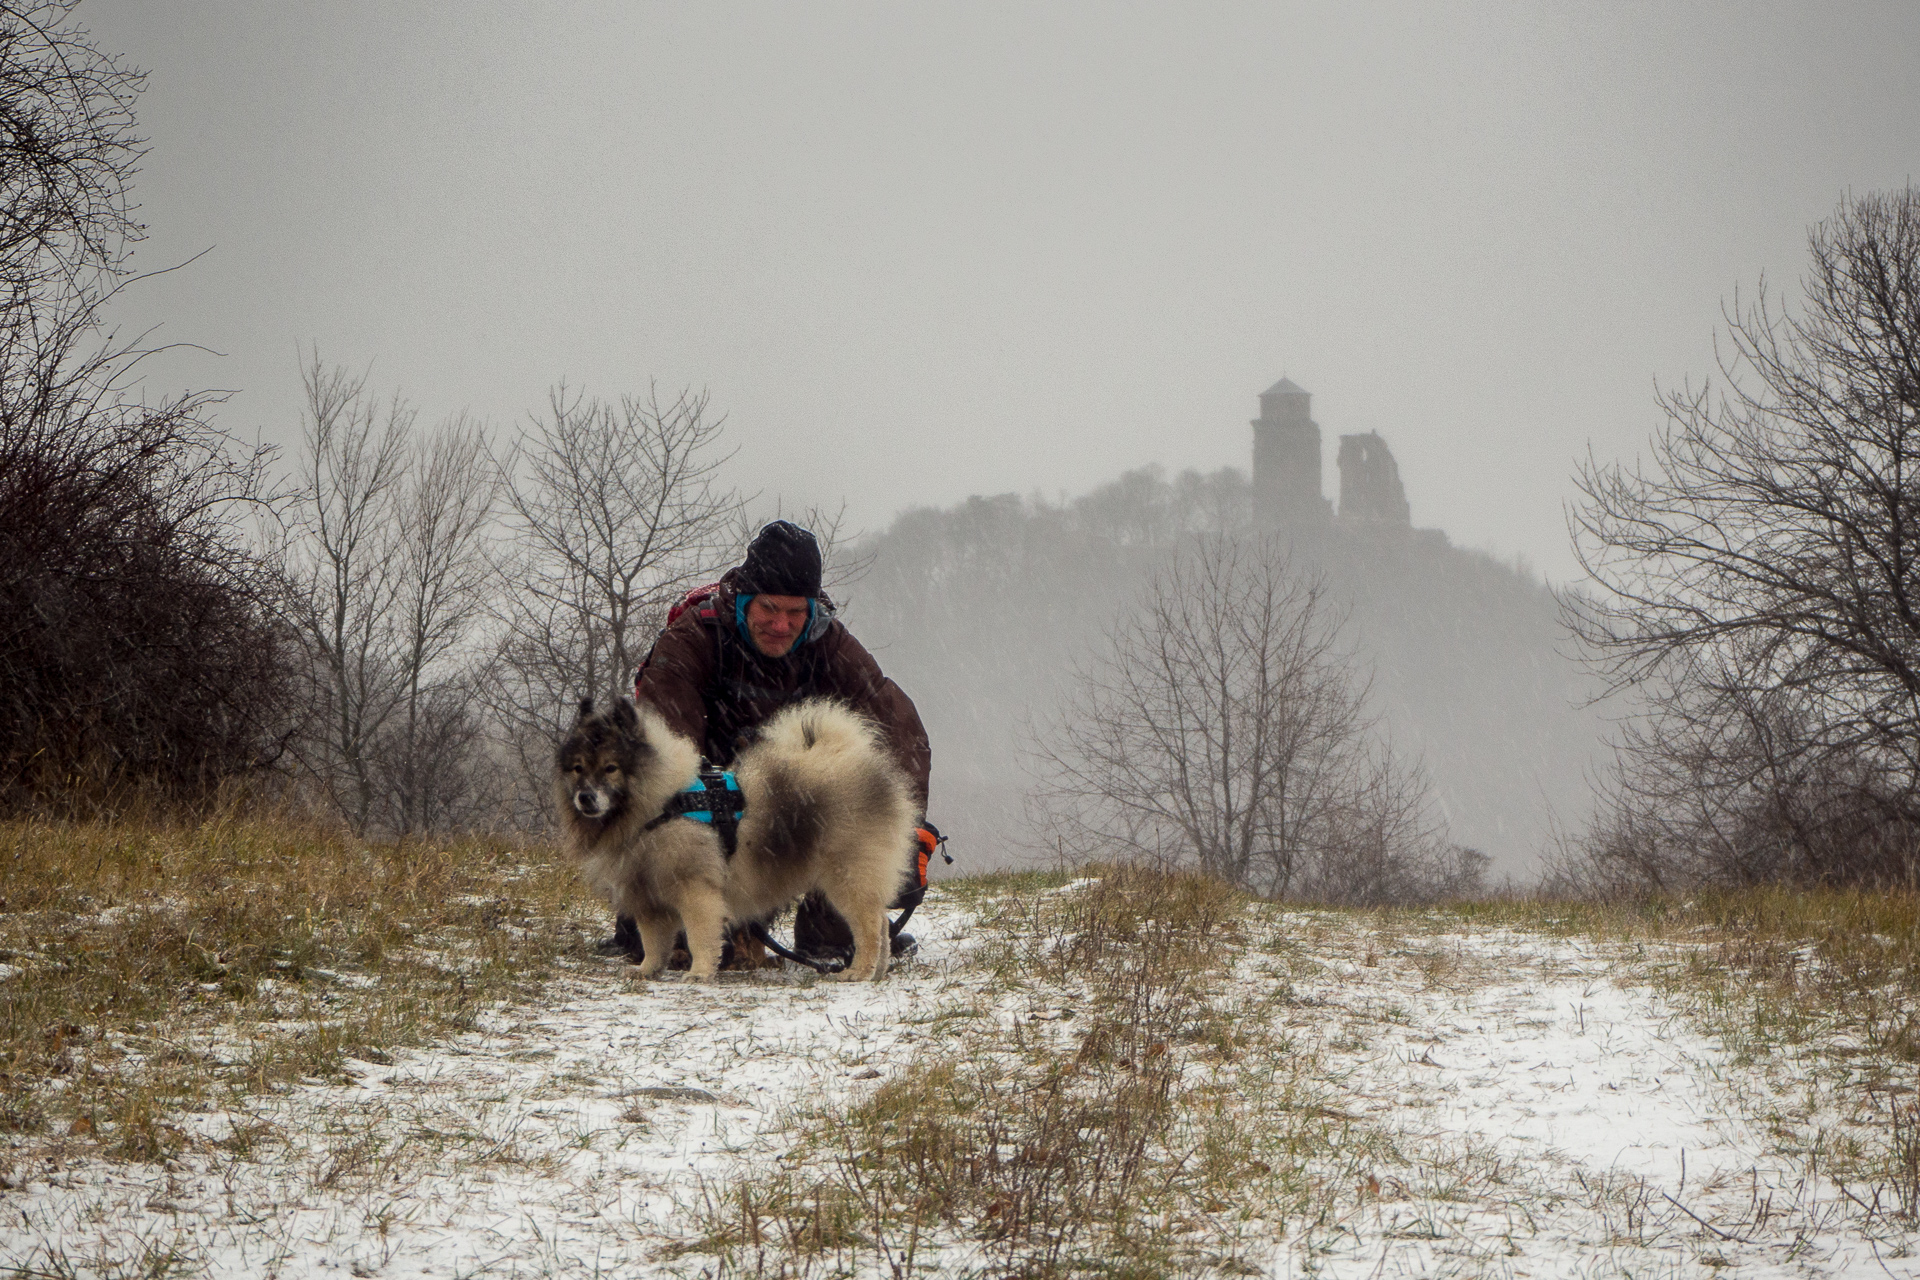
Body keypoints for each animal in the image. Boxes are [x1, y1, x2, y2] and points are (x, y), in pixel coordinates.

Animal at [556, 694, 913, 990]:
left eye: (610, 768)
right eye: (578, 768)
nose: (585, 797)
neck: (660, 804)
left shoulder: (695, 890)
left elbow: (699, 936)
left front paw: (699, 973)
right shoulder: (647, 894)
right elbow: (653, 942)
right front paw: (647, 970)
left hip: (847, 878)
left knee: (869, 928)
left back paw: (859, 971)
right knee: (881, 927)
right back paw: (877, 972)